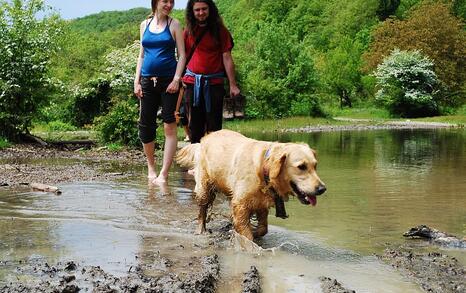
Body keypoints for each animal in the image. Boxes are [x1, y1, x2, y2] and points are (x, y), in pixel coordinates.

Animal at [177, 130, 326, 240]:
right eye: (301, 166)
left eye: (315, 166)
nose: (322, 189)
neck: (263, 168)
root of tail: (204, 138)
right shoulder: (241, 204)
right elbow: (246, 233)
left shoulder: (261, 203)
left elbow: (263, 228)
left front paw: (253, 231)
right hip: (204, 186)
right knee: (202, 210)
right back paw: (200, 230)